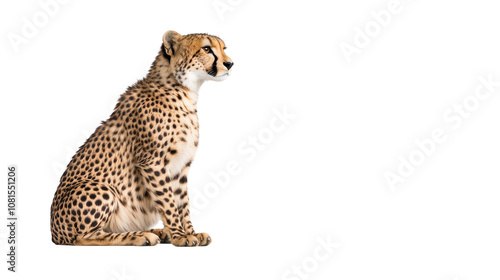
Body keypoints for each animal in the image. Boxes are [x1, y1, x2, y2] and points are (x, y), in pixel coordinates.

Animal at [49, 29, 233, 246]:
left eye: (224, 48)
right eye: (206, 49)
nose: (230, 64)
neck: (185, 93)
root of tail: (54, 234)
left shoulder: (181, 167)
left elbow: (182, 203)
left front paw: (190, 233)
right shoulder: (152, 162)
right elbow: (168, 202)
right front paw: (180, 236)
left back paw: (159, 232)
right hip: (100, 188)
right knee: (84, 237)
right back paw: (141, 236)